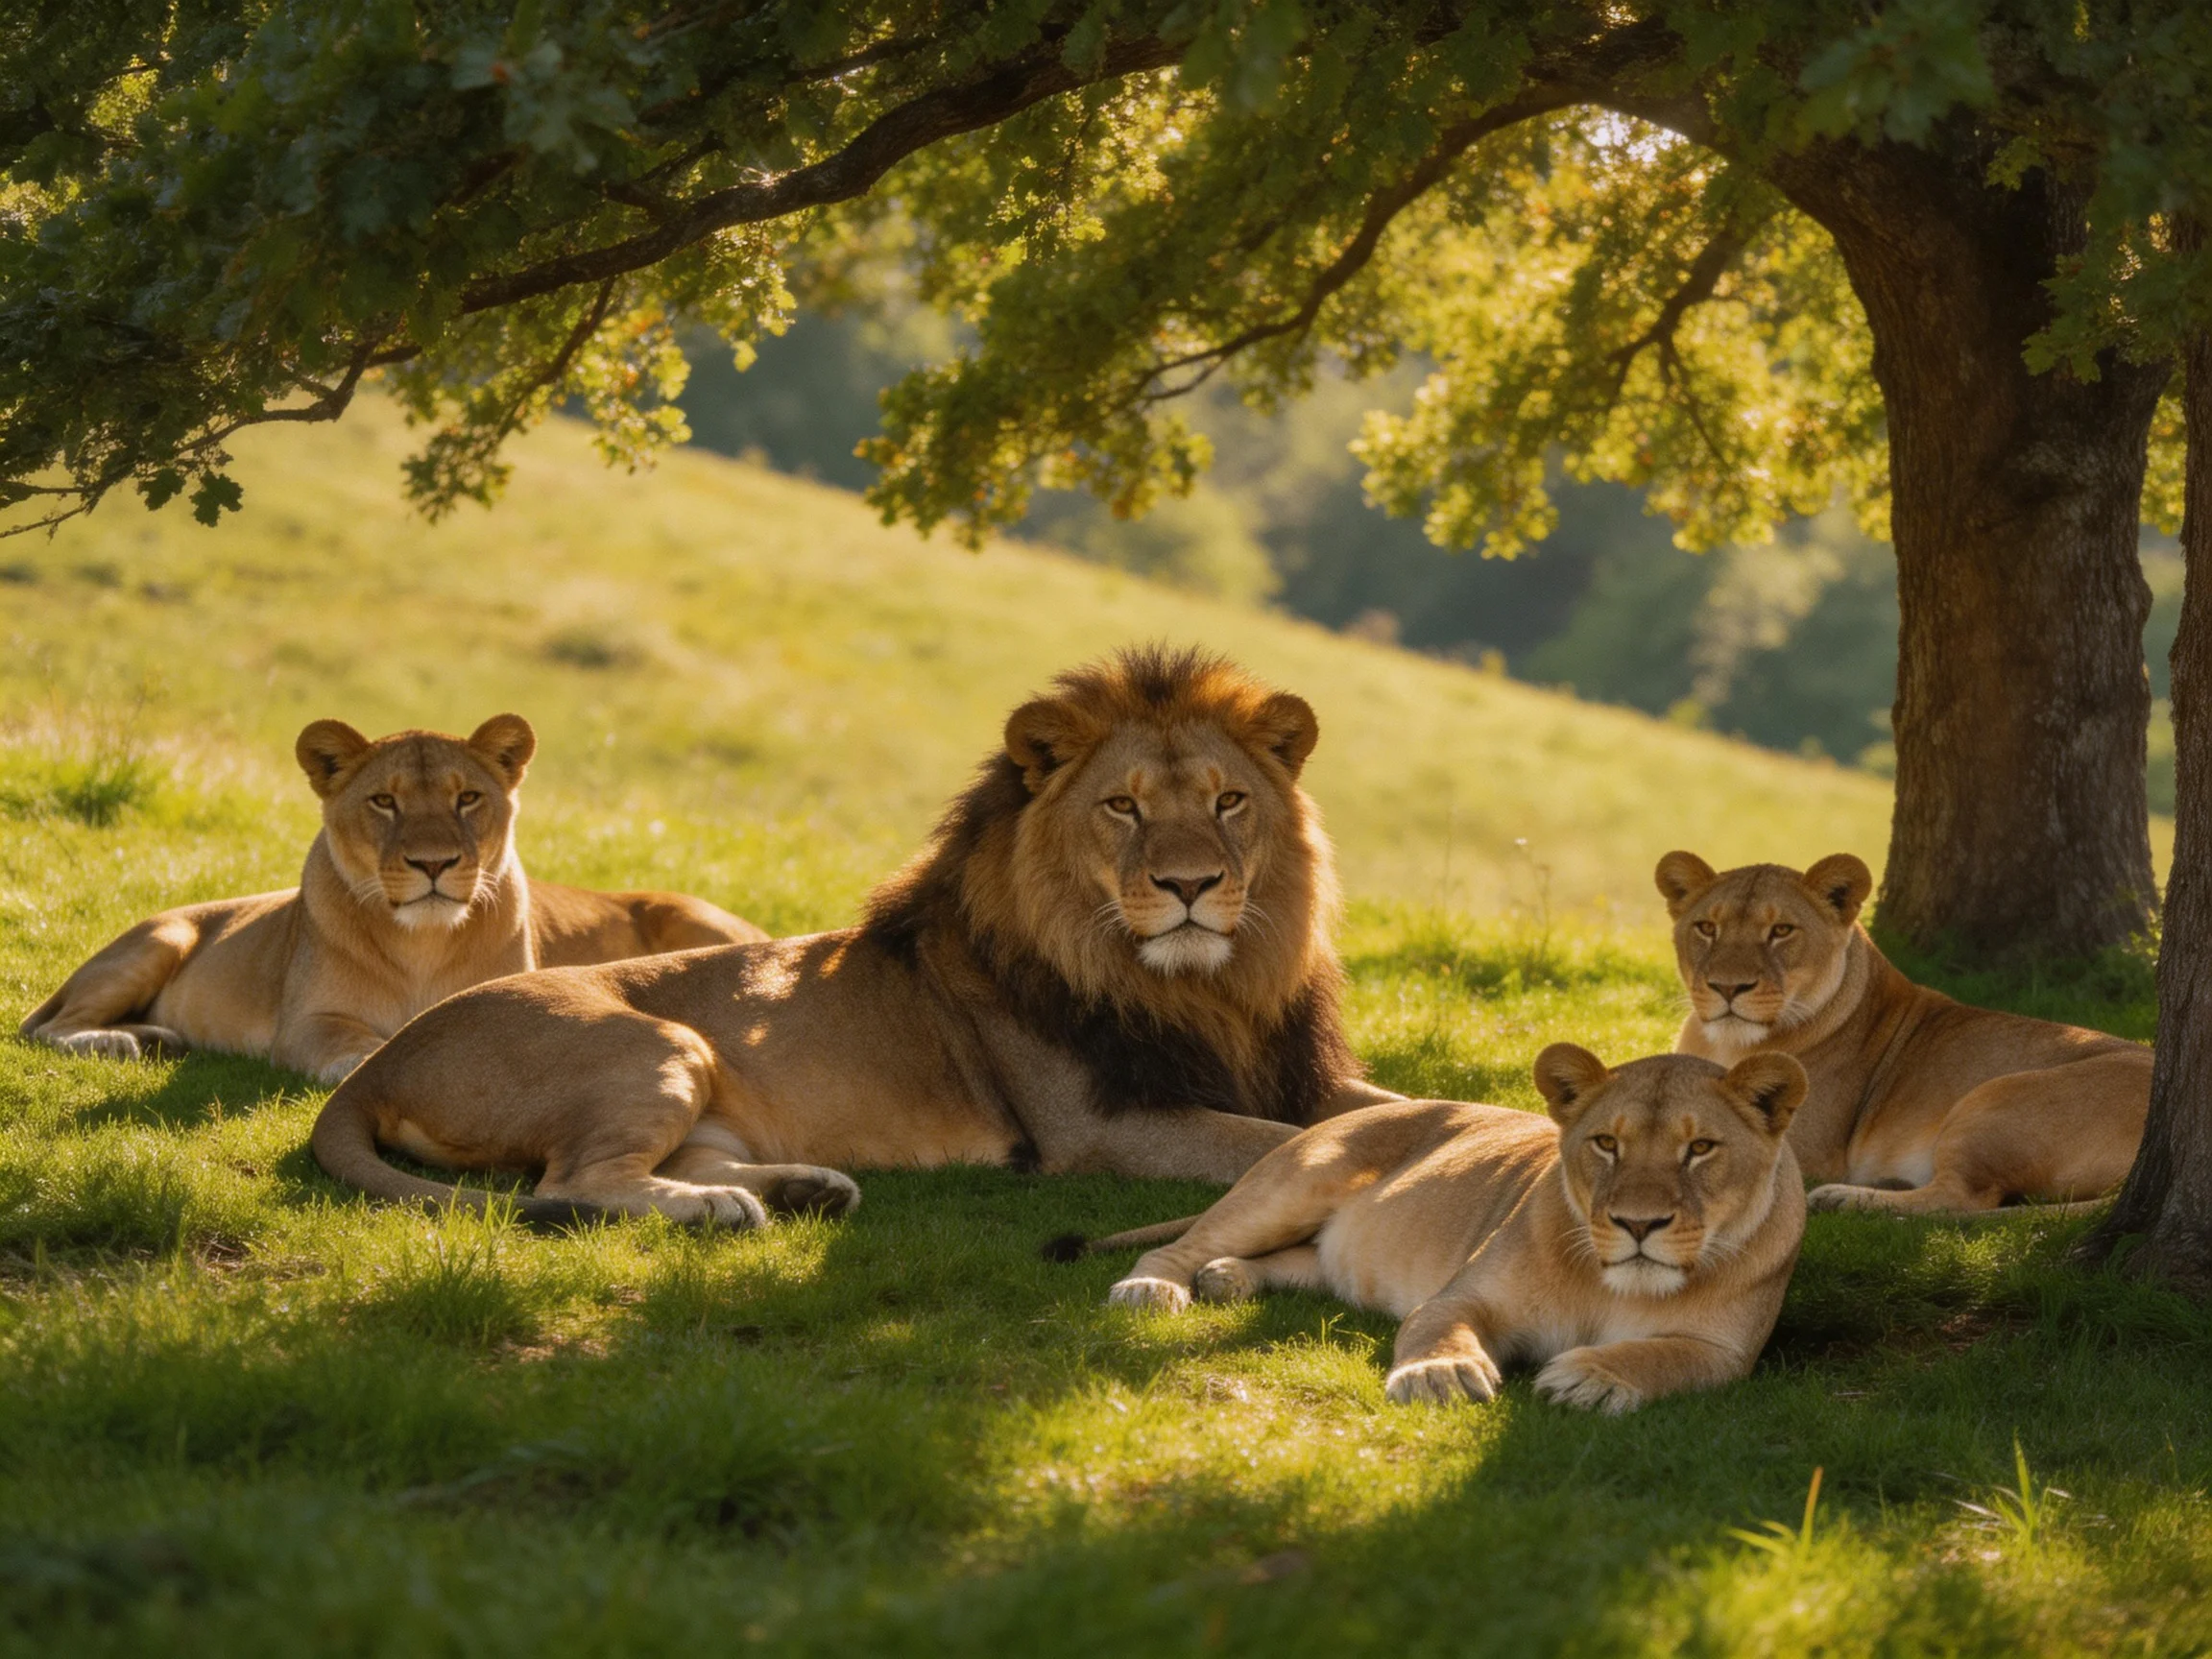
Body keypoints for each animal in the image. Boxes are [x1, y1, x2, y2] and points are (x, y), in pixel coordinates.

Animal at [20, 714, 766, 1084]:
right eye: (384, 801)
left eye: (468, 798)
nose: (433, 863)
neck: (424, 945)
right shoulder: (309, 1021)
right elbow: (357, 1043)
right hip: (163, 936)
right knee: (49, 1030)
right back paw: (130, 1041)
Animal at [309, 648, 1398, 1227]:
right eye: (1122, 807)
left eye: (1228, 803)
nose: (1189, 886)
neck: (1201, 987)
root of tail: (380, 1063)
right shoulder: (1100, 1129)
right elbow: (1281, 1145)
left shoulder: (1285, 1070)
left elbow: (1387, 1110)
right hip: (657, 1042)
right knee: (573, 1181)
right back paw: (724, 1211)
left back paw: (805, 1187)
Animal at [1104, 1045, 1808, 1413]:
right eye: (1607, 1143)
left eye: (1701, 1149)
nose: (1638, 1223)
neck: (1611, 1285)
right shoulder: (1461, 1297)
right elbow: (1438, 1328)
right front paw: (1439, 1376)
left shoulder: (1726, 1354)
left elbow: (1663, 1355)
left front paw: (1592, 1376)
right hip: (1294, 1185)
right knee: (1181, 1245)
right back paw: (1154, 1289)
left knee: (1305, 1259)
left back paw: (1227, 1279)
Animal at [1655, 850, 2152, 1215]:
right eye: (1707, 928)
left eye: (1781, 930)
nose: (1727, 987)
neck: (1724, 1043)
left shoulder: (1806, 1148)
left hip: (1996, 1097)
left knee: (1964, 1201)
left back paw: (1844, 1198)